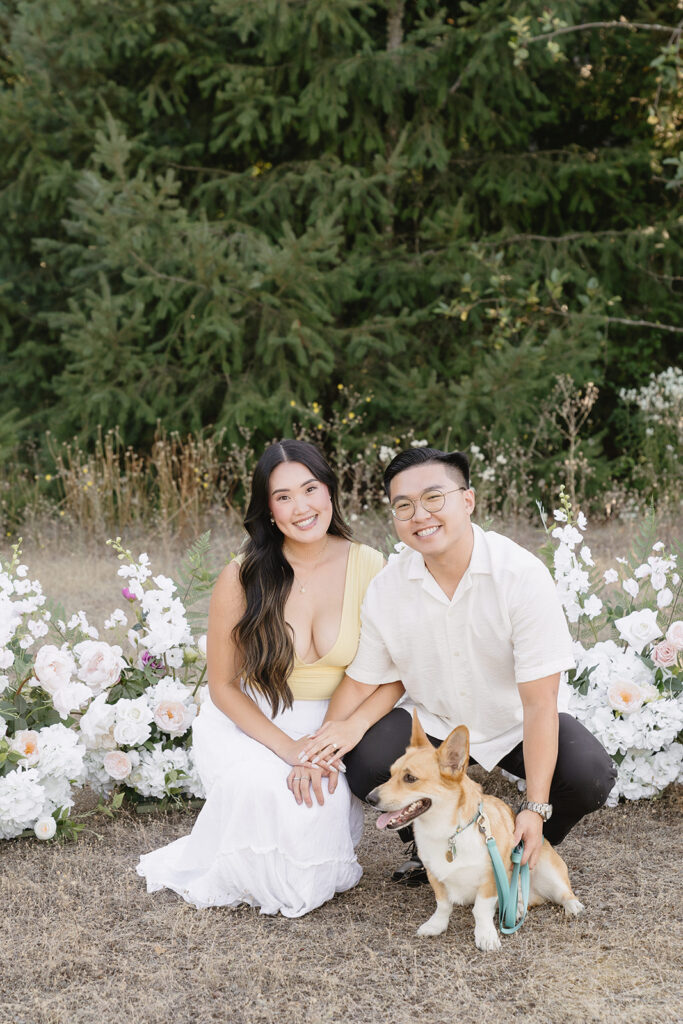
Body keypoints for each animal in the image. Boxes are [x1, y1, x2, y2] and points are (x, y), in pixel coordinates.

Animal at [366, 712, 585, 950]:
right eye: (390, 774)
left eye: (410, 778)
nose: (370, 798)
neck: (447, 832)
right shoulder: (435, 876)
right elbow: (443, 905)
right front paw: (436, 925)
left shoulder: (490, 879)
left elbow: (480, 909)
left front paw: (486, 936)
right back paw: (517, 907)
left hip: (546, 867)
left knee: (561, 892)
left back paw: (571, 906)